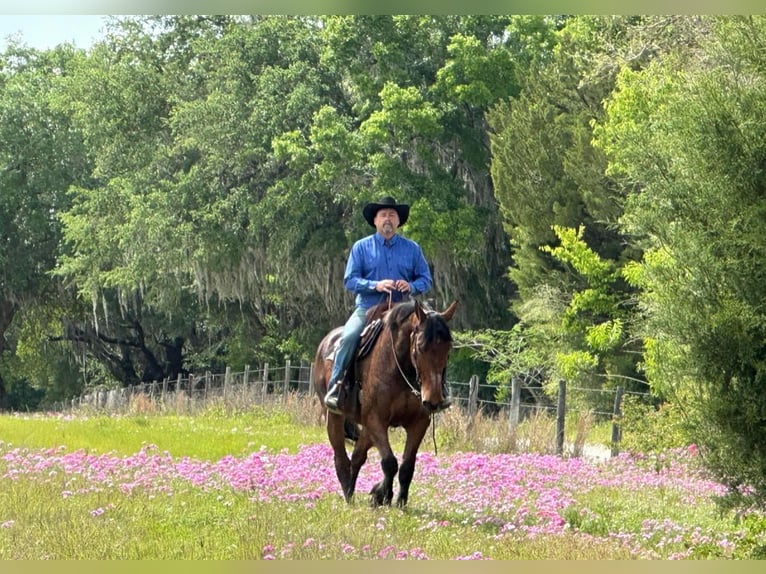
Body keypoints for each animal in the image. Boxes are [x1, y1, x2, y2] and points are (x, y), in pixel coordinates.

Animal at [310, 300, 456, 506]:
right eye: (420, 346)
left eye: (448, 348)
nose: (433, 400)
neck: (399, 368)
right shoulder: (376, 420)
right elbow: (389, 462)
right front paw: (381, 496)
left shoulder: (418, 423)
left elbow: (406, 466)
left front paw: (398, 500)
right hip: (334, 417)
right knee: (341, 457)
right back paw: (348, 493)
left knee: (357, 456)